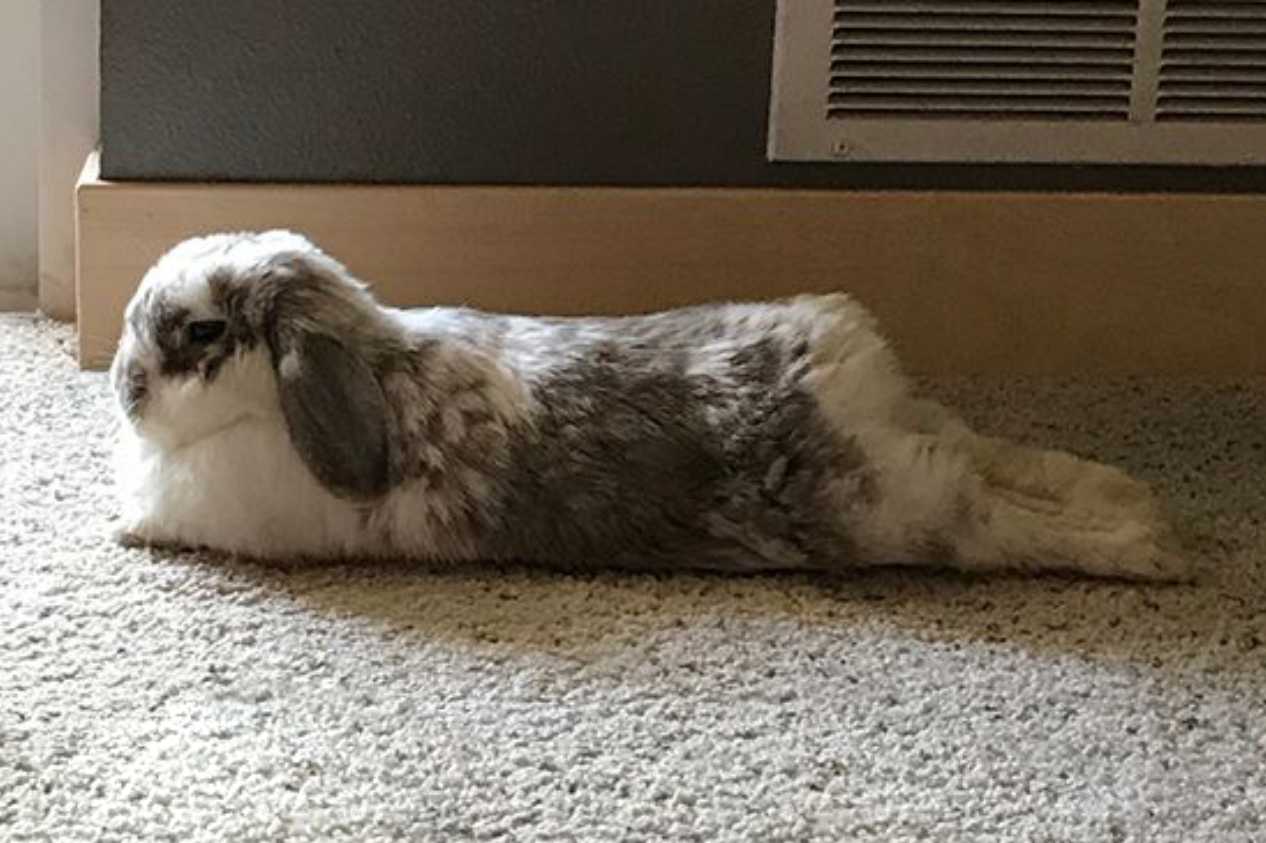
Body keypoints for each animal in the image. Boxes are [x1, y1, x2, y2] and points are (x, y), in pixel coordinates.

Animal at [108, 230, 1184, 577]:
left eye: (199, 332)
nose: (124, 389)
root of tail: (842, 366)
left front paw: (119, 531)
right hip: (920, 440)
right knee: (1007, 462)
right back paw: (1138, 500)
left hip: (899, 501)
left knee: (995, 514)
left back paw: (1151, 549)